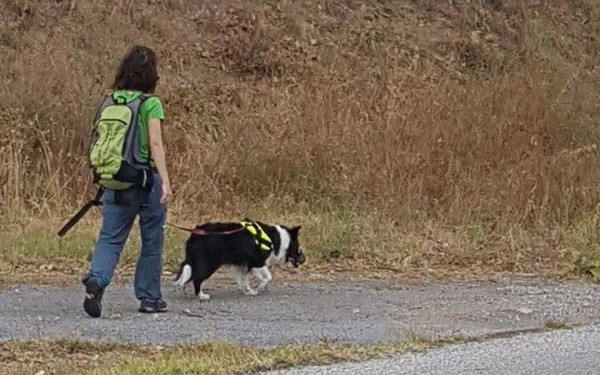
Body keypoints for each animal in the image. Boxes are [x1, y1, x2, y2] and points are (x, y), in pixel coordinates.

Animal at [172, 222, 304, 302]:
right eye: (298, 246)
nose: (304, 258)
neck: (277, 239)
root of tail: (195, 234)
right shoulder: (256, 262)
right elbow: (268, 277)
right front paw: (259, 287)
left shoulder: (243, 265)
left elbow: (244, 280)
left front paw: (249, 291)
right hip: (209, 264)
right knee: (197, 278)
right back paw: (201, 295)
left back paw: (186, 291)